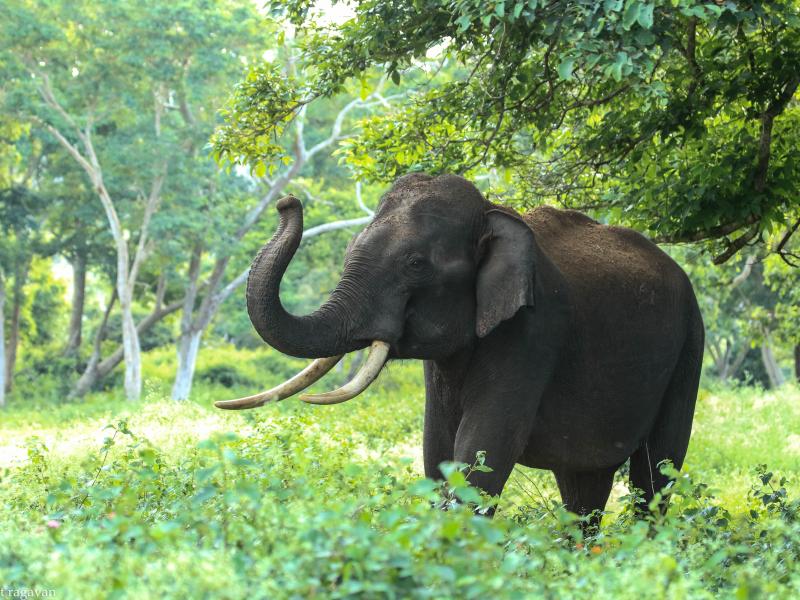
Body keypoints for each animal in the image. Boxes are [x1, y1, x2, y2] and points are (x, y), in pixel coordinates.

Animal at [216, 171, 704, 524]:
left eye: (415, 264)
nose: (287, 202)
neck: (492, 212)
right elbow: (438, 451)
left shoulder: (534, 331)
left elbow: (482, 451)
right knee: (583, 487)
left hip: (690, 346)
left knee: (656, 472)